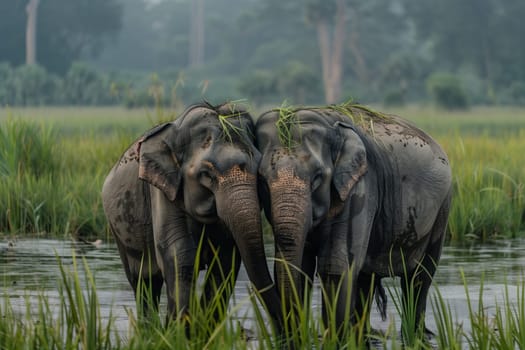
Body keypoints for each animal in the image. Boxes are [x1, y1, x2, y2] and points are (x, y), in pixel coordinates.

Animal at [102, 102, 282, 330]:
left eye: (259, 172)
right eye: (206, 174)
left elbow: (225, 261)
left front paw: (203, 330)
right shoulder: (162, 190)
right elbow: (180, 254)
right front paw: (178, 332)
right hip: (119, 232)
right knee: (142, 281)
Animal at [256, 103, 452, 340]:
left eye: (318, 178)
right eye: (262, 180)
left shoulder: (360, 187)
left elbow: (336, 268)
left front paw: (338, 339)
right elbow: (301, 267)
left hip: (442, 209)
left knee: (419, 277)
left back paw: (418, 336)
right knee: (366, 278)